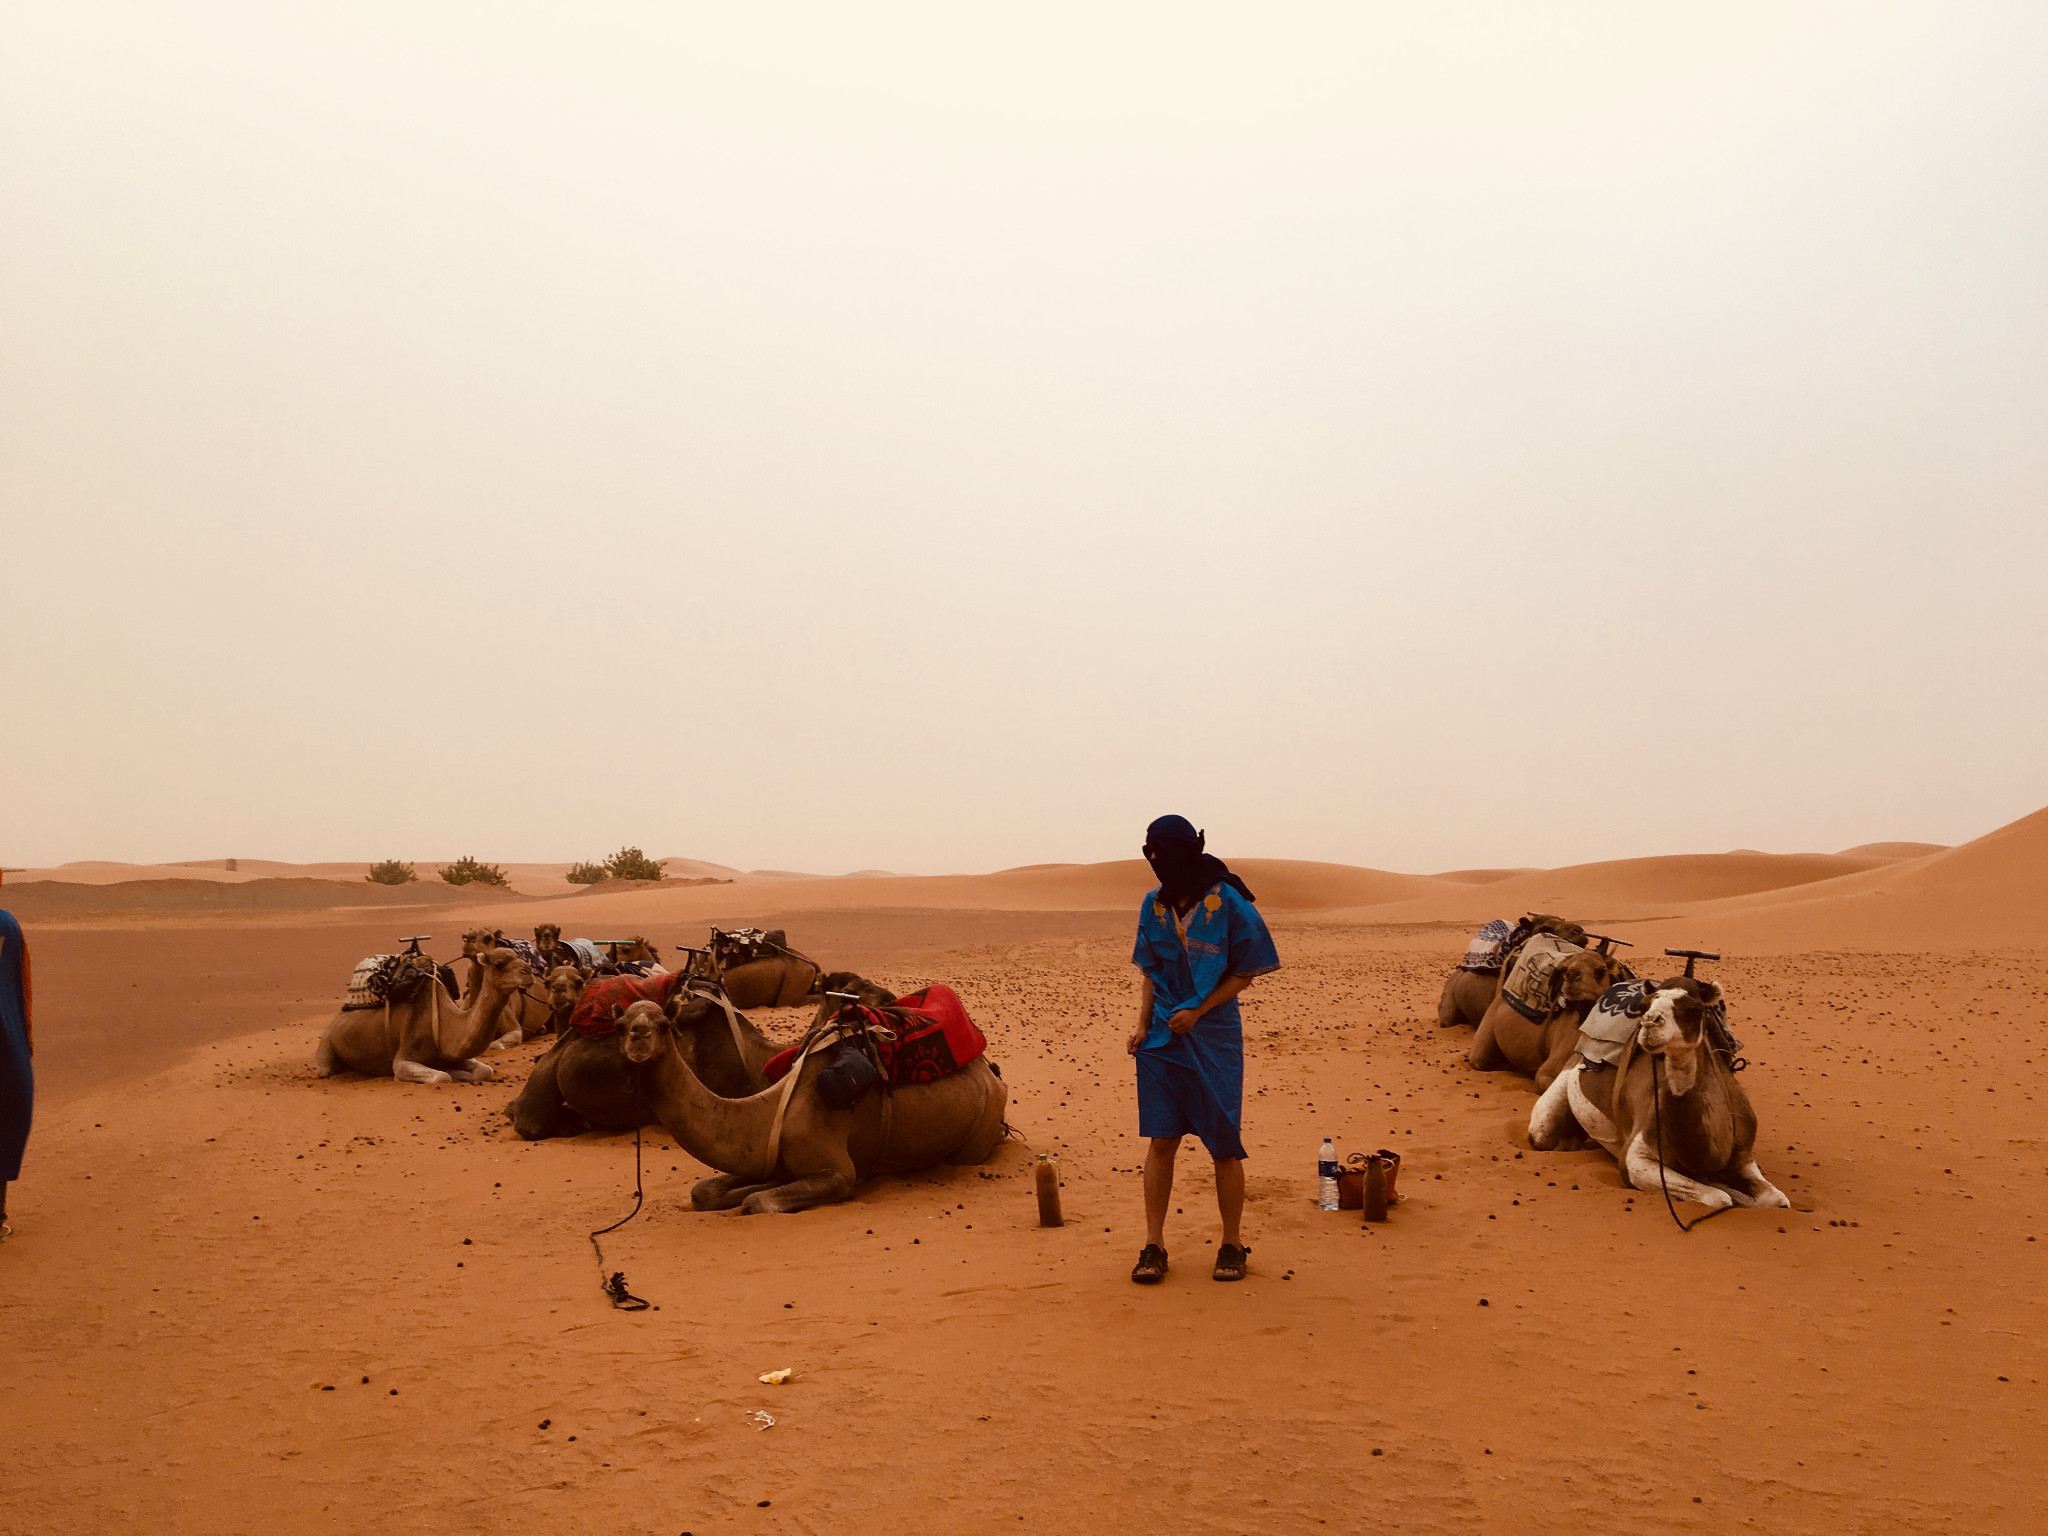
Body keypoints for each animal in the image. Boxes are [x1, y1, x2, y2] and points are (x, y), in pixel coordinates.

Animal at [311, 946, 536, 1089]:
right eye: (499, 963)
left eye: (521, 958)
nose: (529, 971)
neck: (446, 1022)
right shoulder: (403, 1058)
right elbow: (442, 1076)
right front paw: (455, 1074)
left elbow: (485, 1071)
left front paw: (462, 1073)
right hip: (327, 1044)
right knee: (326, 1069)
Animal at [618, 999, 1011, 1212]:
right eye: (620, 1024)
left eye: (664, 1023)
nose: (639, 1037)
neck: (767, 1110)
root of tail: (991, 1072)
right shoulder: (765, 1155)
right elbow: (704, 1192)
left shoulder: (837, 1173)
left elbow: (756, 1202)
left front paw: (750, 1195)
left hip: (979, 1132)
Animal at [1466, 937, 1622, 1097]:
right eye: (1564, 970)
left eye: (1601, 971)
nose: (1572, 975)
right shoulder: (1549, 1068)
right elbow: (1545, 1081)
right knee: (1480, 1058)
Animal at [1531, 987, 1785, 1212]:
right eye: (1644, 1006)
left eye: (1694, 1009)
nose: (1651, 1022)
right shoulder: (1636, 1157)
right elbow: (1719, 1198)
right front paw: (1728, 1191)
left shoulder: (1742, 1154)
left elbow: (1778, 1199)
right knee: (1541, 1133)